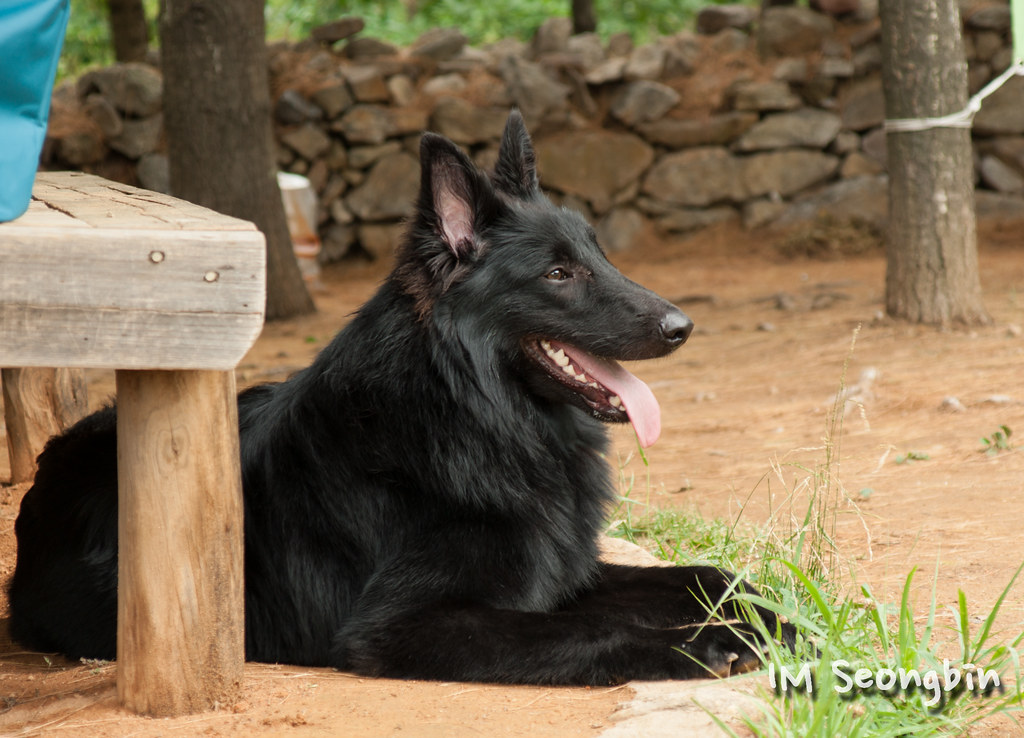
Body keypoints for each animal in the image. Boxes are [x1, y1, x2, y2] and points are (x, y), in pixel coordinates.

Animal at [8, 112, 790, 683]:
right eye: (559, 273)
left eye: (597, 255)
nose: (682, 327)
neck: (472, 415)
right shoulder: (404, 627)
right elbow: (596, 626)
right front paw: (719, 640)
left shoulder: (566, 567)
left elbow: (710, 574)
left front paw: (778, 613)